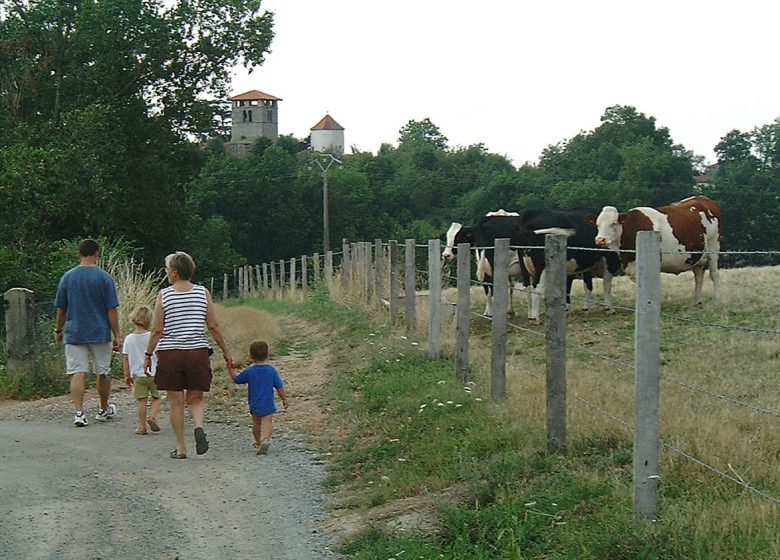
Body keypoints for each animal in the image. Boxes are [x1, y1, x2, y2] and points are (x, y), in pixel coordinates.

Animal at [588, 196, 724, 304]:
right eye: (597, 224)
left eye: (613, 223)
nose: (600, 240)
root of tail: (704, 199)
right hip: (697, 255)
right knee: (699, 276)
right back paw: (696, 302)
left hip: (713, 247)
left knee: (714, 274)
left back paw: (716, 300)